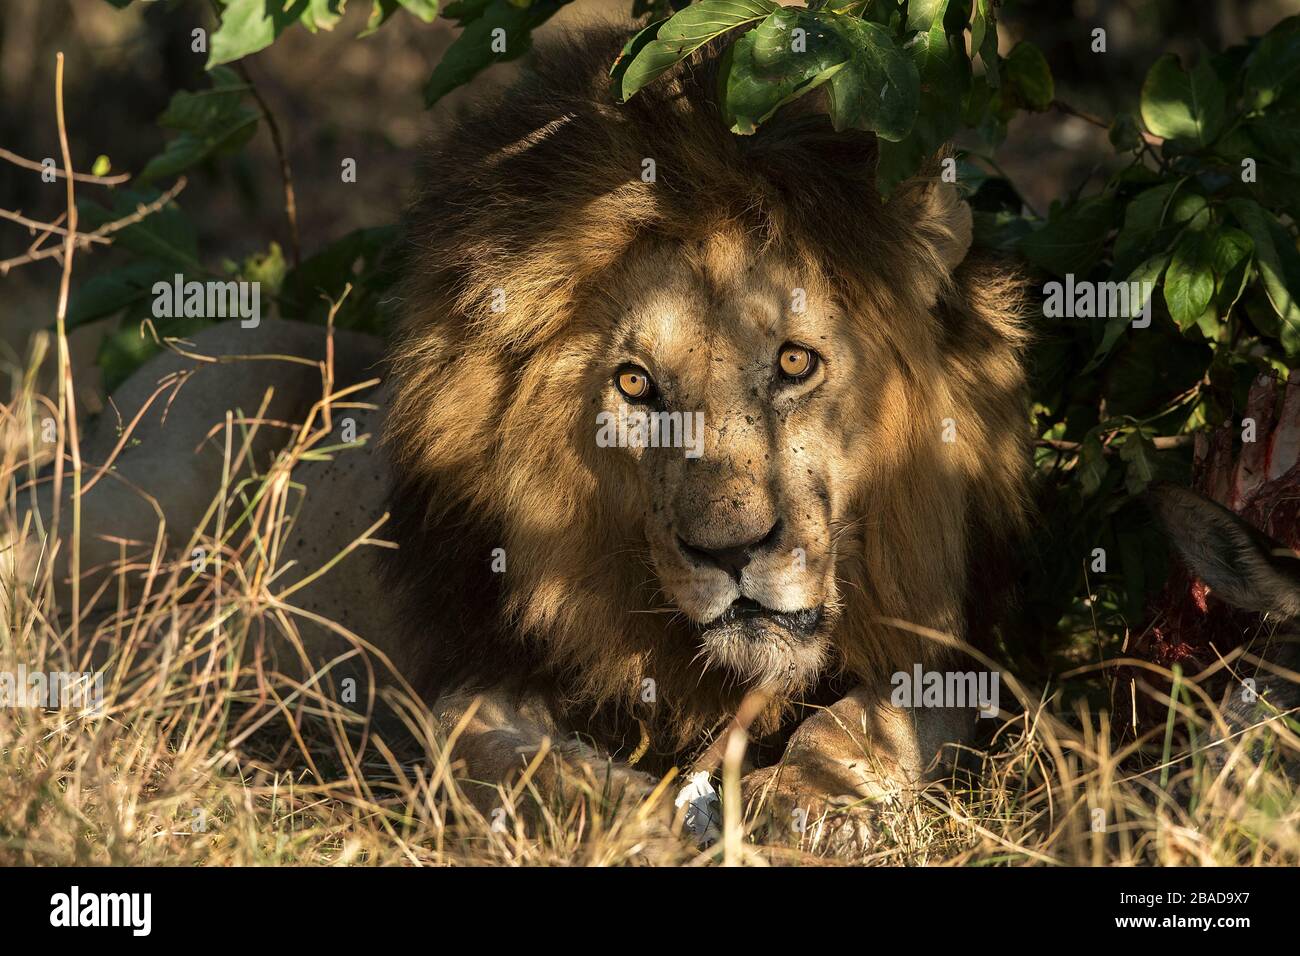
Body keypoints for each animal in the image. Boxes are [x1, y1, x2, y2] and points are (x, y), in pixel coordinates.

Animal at [20, 25, 1038, 844]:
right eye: (636, 384)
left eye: (795, 363)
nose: (730, 553)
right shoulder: (480, 669)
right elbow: (511, 761)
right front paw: (636, 827)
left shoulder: (954, 654)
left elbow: (876, 722)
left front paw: (810, 801)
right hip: (134, 492)